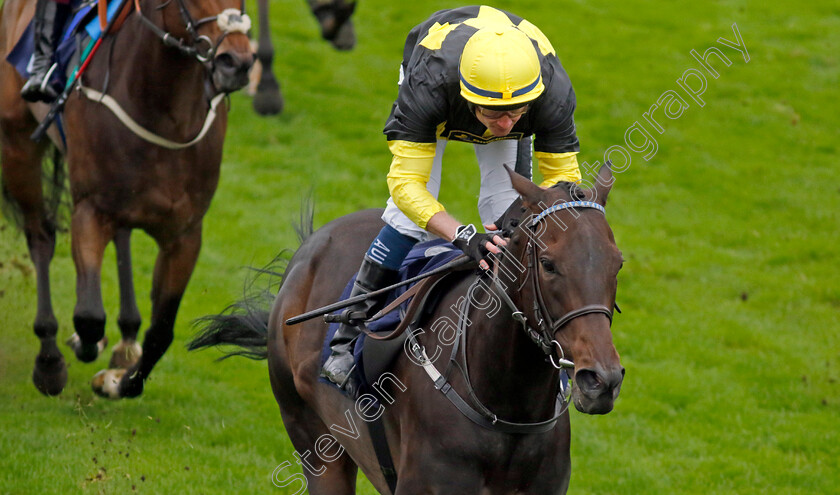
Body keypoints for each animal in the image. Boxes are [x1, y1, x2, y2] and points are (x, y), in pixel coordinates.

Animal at [0, 0, 256, 398]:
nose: (237, 62)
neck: (163, 111)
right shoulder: (90, 211)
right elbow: (89, 316)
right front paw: (82, 349)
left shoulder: (184, 235)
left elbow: (161, 332)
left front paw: (121, 380)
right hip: (17, 144)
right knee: (40, 236)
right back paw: (50, 359)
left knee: (121, 238)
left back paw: (125, 337)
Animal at [190, 168, 624, 495]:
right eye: (548, 264)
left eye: (617, 263)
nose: (601, 380)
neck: (506, 411)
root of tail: (310, 247)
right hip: (312, 439)